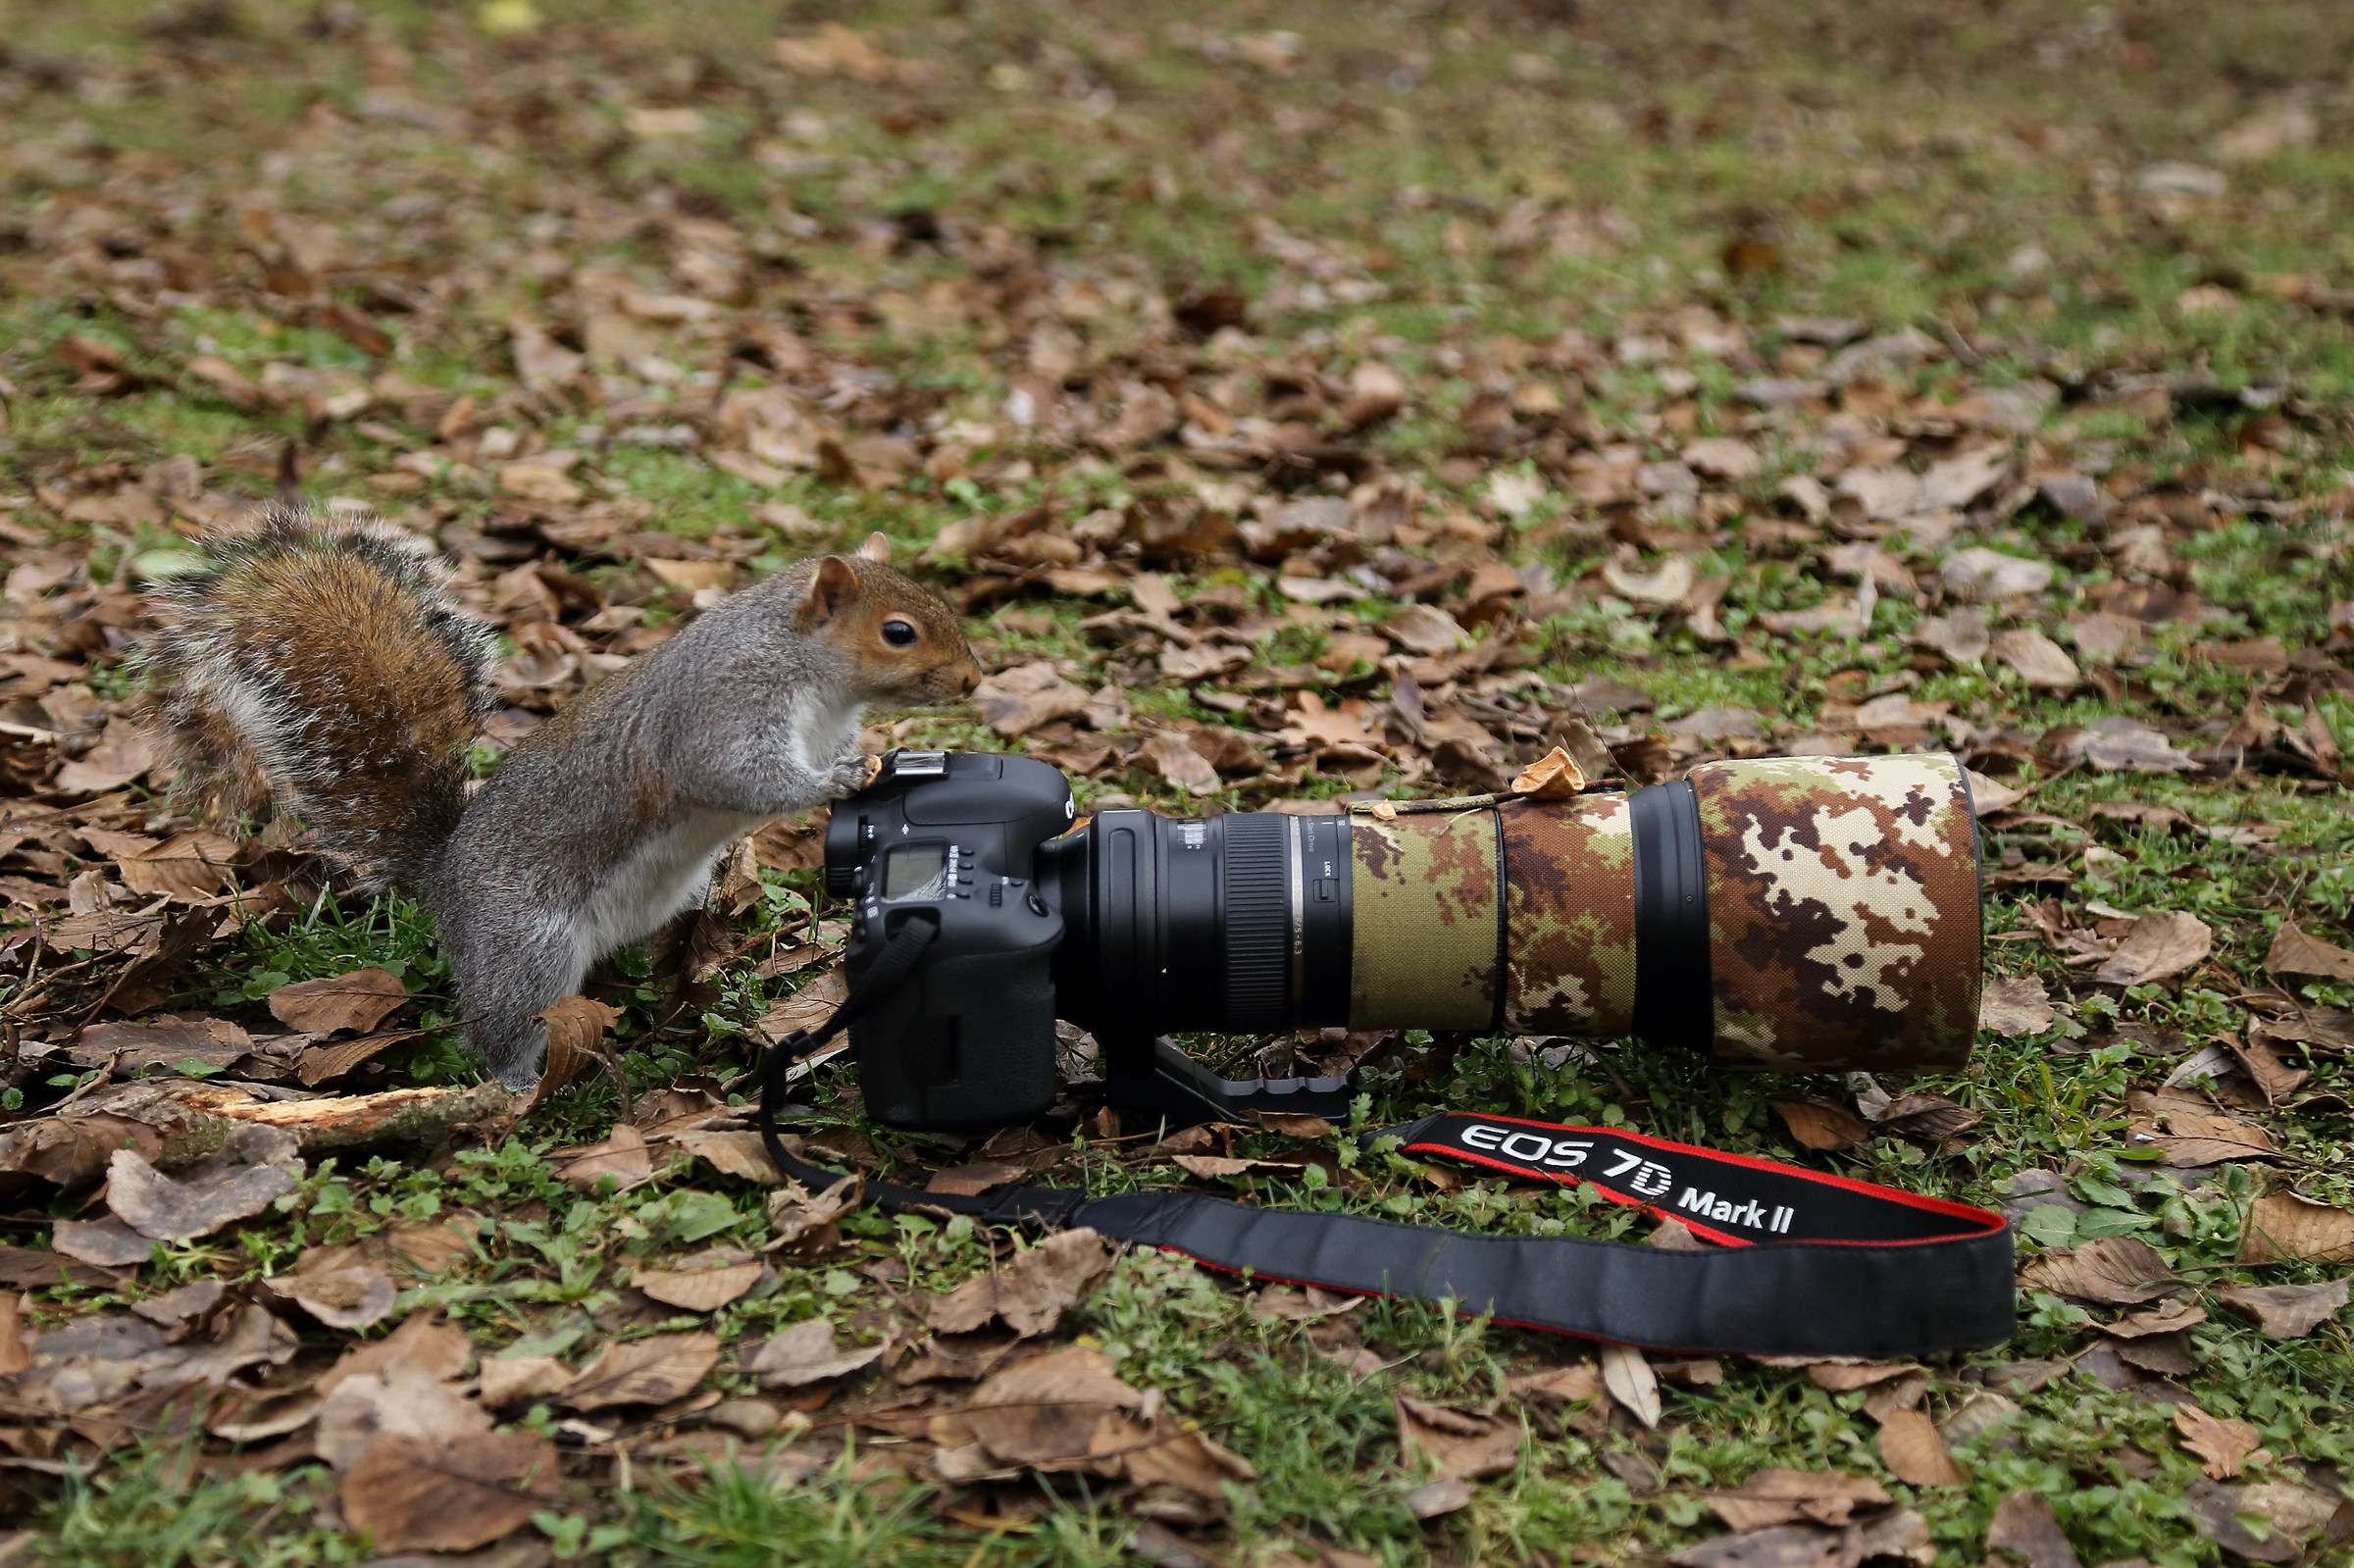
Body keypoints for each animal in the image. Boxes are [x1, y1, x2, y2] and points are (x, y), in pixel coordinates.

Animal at [146, 505, 982, 1088]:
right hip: (525, 944)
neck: (813, 674)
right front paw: (834, 781)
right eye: (898, 631)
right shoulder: (722, 709)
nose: (975, 679)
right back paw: (519, 1077)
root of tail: (443, 877)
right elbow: (739, 775)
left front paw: (881, 760)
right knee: (498, 1023)